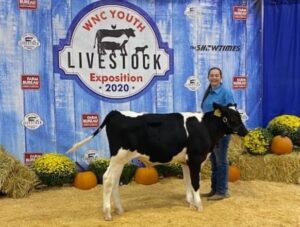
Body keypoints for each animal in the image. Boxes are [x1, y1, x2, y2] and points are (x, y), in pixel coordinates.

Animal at [68, 103, 248, 220]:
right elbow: (195, 183)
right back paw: (107, 214)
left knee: (114, 181)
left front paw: (190, 203)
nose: (245, 131)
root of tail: (116, 112)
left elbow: (187, 182)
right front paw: (199, 206)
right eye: (232, 117)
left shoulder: (186, 162)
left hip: (120, 160)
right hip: (119, 156)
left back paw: (119, 209)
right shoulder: (196, 159)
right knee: (107, 179)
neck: (205, 127)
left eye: (239, 115)